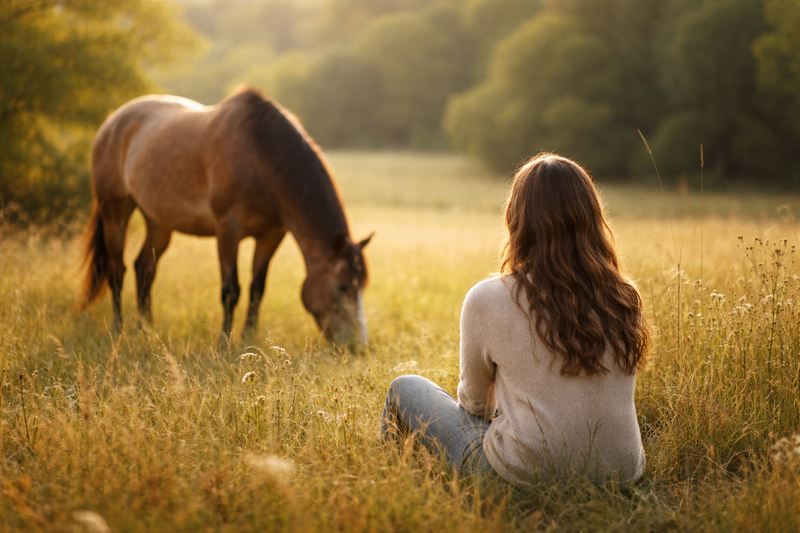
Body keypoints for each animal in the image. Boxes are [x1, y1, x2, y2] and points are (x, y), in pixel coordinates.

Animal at [80, 87, 372, 344]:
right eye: (342, 286)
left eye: (361, 286)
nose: (358, 345)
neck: (259, 157)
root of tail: (111, 123)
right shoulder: (228, 231)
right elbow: (231, 291)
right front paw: (224, 344)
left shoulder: (271, 236)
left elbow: (257, 289)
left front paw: (248, 339)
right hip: (115, 211)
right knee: (117, 270)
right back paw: (119, 330)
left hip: (159, 223)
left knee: (144, 269)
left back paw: (146, 330)